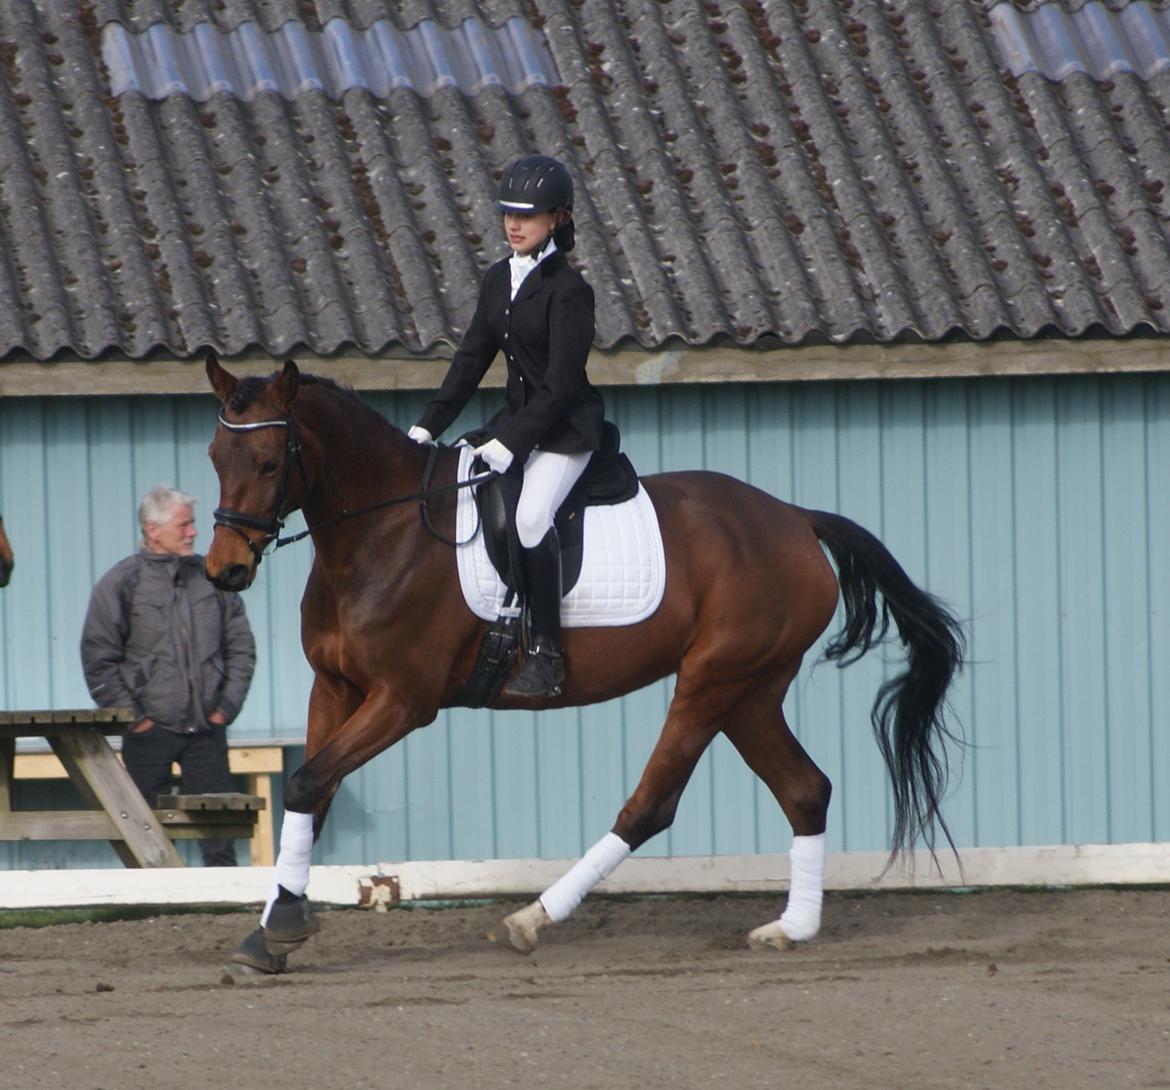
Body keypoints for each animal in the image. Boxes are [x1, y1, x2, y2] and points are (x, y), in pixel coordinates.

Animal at [205, 357, 964, 973]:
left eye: (270, 462)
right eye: (216, 455)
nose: (224, 572)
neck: (380, 532)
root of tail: (793, 518)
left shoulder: (401, 700)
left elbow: (308, 783)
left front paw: (281, 929)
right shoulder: (335, 689)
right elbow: (314, 793)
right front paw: (268, 936)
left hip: (712, 681)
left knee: (652, 804)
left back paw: (530, 919)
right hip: (750, 692)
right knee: (805, 790)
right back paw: (791, 929)